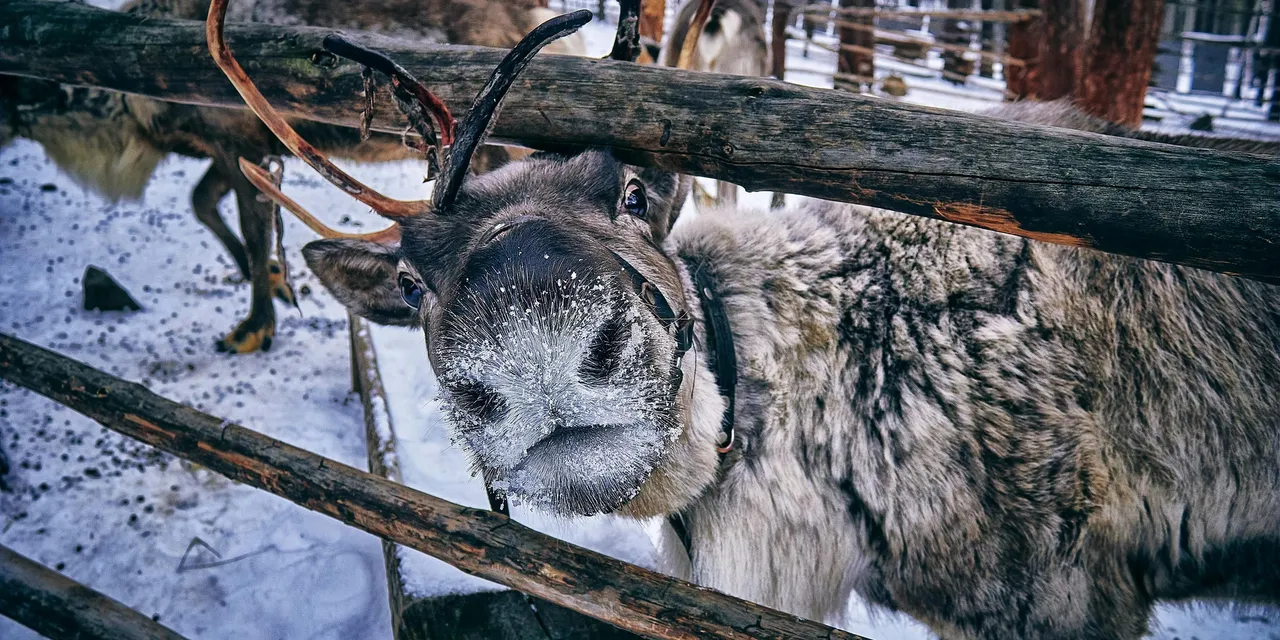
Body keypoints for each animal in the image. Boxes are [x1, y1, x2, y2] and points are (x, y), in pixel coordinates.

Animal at [0, 0, 585, 354]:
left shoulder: (238, 142)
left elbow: (254, 229)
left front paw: (253, 326)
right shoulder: (236, 151)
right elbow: (202, 202)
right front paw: (275, 283)